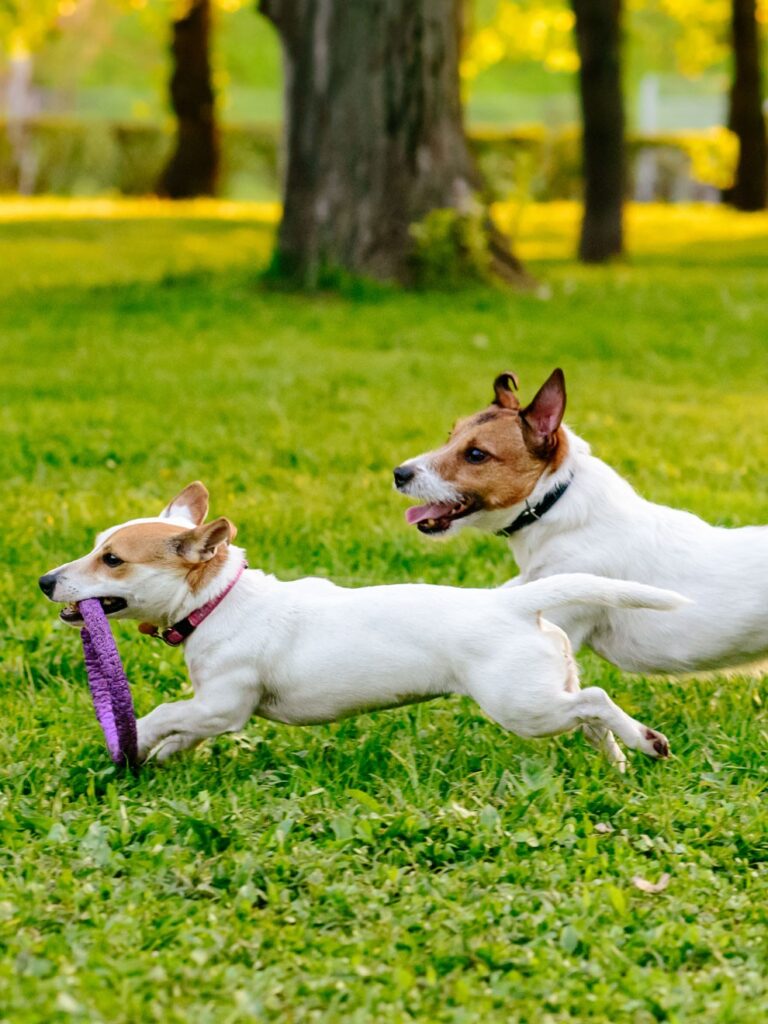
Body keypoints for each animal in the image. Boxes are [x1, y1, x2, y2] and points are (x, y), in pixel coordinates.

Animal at [39, 483, 684, 765]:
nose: (46, 581)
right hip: (547, 689)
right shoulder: (212, 710)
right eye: (97, 546)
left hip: (522, 705)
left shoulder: (224, 703)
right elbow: (183, 730)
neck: (218, 600)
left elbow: (167, 714)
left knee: (595, 701)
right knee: (589, 710)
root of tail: (516, 605)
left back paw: (645, 742)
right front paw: (157, 757)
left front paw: (136, 740)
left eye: (112, 560)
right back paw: (619, 758)